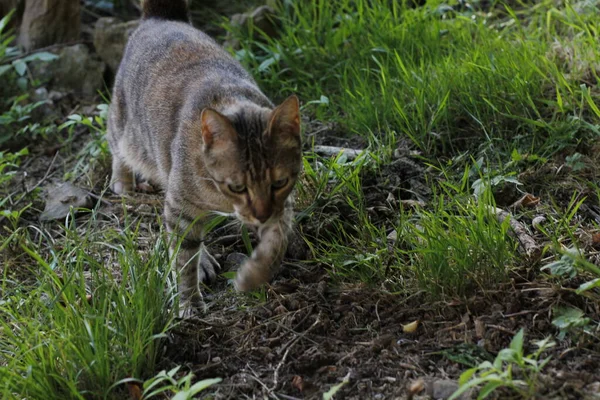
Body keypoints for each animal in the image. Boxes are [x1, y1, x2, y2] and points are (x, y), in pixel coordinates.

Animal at [106, 0, 302, 312]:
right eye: (237, 186)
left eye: (279, 183)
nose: (260, 215)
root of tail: (160, 17)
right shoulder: (179, 205)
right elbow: (183, 258)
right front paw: (189, 301)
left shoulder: (282, 206)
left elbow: (277, 239)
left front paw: (254, 273)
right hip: (127, 130)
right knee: (114, 142)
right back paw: (122, 179)